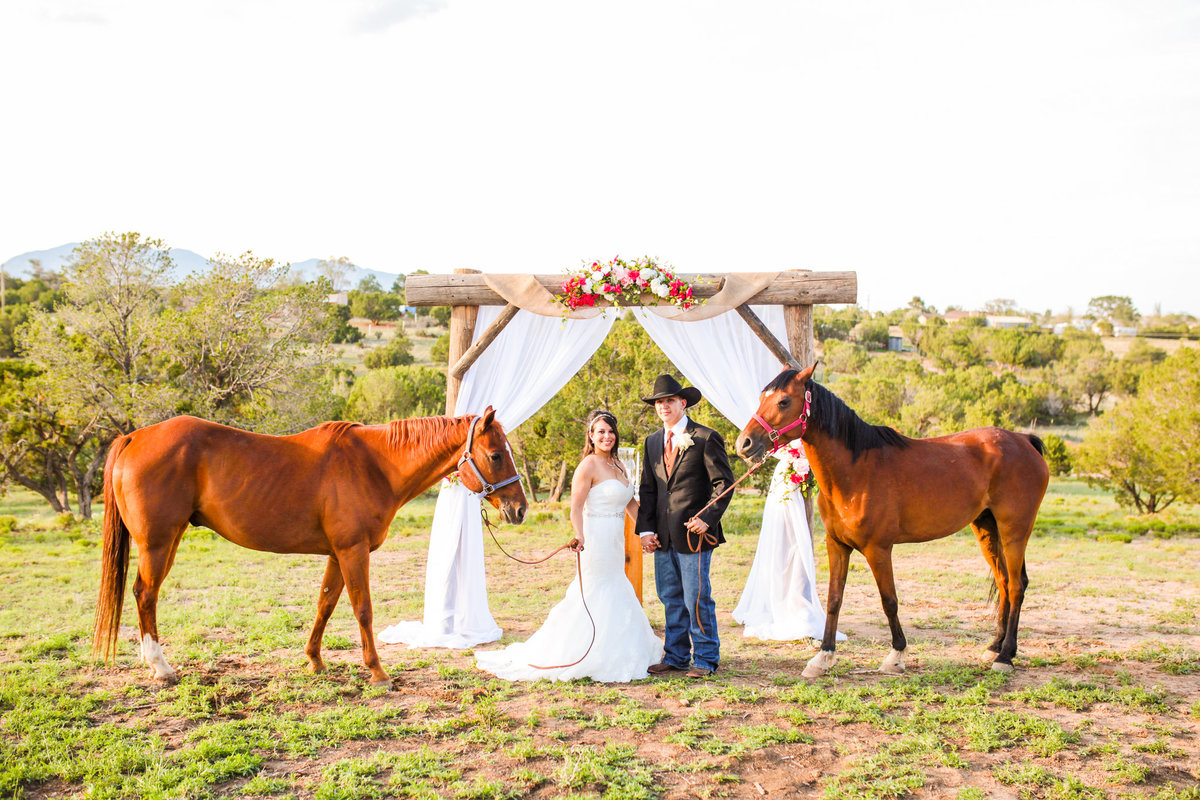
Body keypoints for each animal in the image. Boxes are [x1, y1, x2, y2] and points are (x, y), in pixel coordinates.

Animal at [93, 407, 525, 690]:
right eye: (495, 454)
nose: (519, 509)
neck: (374, 464)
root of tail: (135, 436)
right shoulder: (353, 551)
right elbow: (362, 609)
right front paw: (377, 672)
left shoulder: (338, 553)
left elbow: (326, 603)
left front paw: (315, 660)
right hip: (158, 543)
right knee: (146, 595)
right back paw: (162, 668)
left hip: (169, 540)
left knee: (144, 595)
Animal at [734, 367, 1046, 681]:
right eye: (762, 398)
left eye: (783, 401)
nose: (743, 443)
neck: (856, 471)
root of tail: (1024, 440)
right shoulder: (837, 545)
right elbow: (834, 599)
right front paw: (823, 657)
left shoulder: (879, 549)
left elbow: (889, 601)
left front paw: (896, 655)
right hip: (987, 529)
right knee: (1004, 582)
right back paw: (994, 647)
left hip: (1014, 530)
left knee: (1017, 586)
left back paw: (1005, 656)